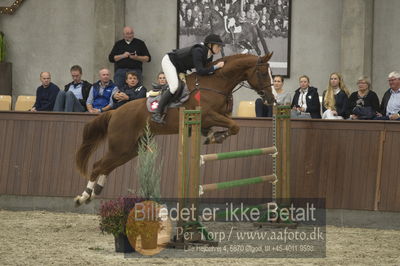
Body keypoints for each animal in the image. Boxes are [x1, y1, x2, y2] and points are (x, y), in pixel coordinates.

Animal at [73, 52, 276, 206]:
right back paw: (83, 196)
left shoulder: (219, 116)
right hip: (121, 145)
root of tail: (115, 112)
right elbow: (235, 126)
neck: (216, 83)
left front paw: (214, 136)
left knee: (107, 166)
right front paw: (216, 137)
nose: (272, 99)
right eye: (263, 74)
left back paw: (95, 191)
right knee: (99, 165)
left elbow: (233, 126)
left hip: (130, 149)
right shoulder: (207, 115)